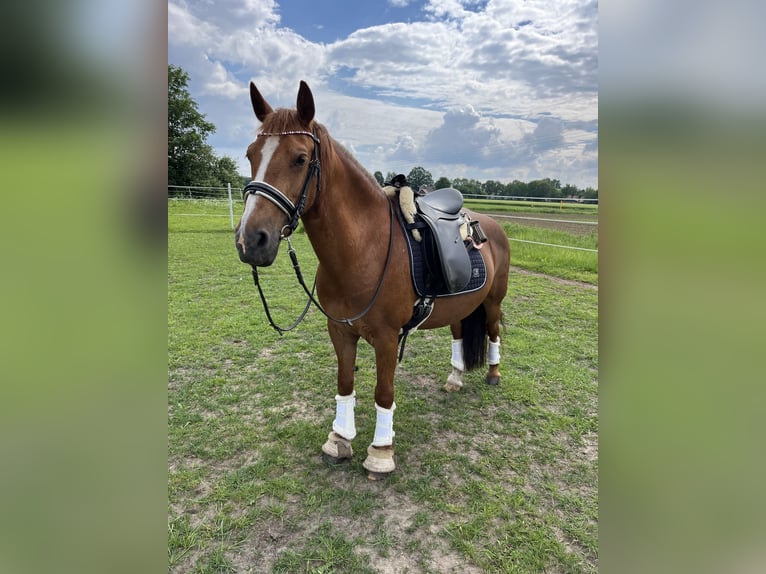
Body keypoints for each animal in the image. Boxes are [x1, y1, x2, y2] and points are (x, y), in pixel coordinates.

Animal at [235, 81, 510, 479]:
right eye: (250, 155)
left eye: (300, 158)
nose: (250, 240)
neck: (365, 248)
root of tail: (491, 223)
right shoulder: (340, 330)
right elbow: (345, 383)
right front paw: (339, 438)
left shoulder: (386, 337)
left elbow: (384, 392)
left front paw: (381, 452)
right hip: (461, 304)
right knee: (459, 332)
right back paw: (455, 378)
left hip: (492, 301)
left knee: (493, 332)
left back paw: (493, 373)